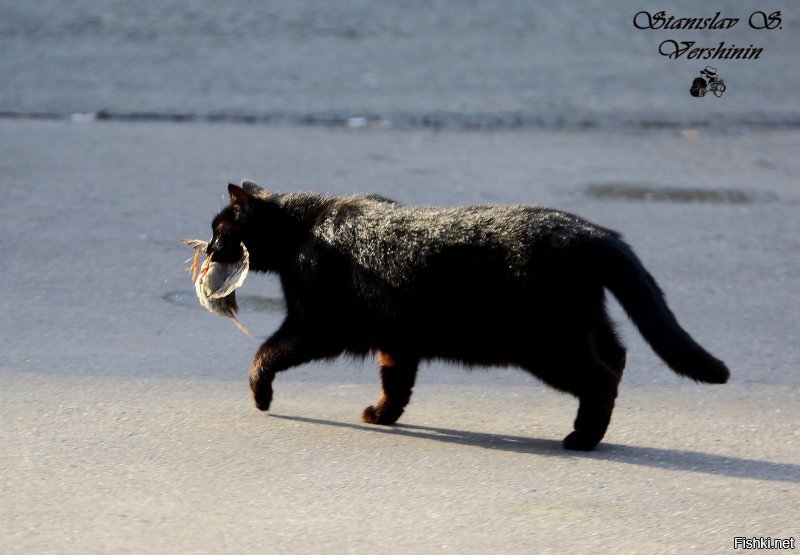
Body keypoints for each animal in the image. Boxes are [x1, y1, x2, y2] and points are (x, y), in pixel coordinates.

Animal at [205, 182, 724, 452]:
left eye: (219, 230)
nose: (207, 249)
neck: (304, 229)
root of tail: (589, 231)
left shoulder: (316, 326)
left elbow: (265, 353)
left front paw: (260, 395)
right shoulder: (397, 339)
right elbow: (396, 382)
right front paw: (384, 415)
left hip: (548, 345)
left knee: (600, 379)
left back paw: (583, 437)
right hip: (585, 325)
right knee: (617, 358)